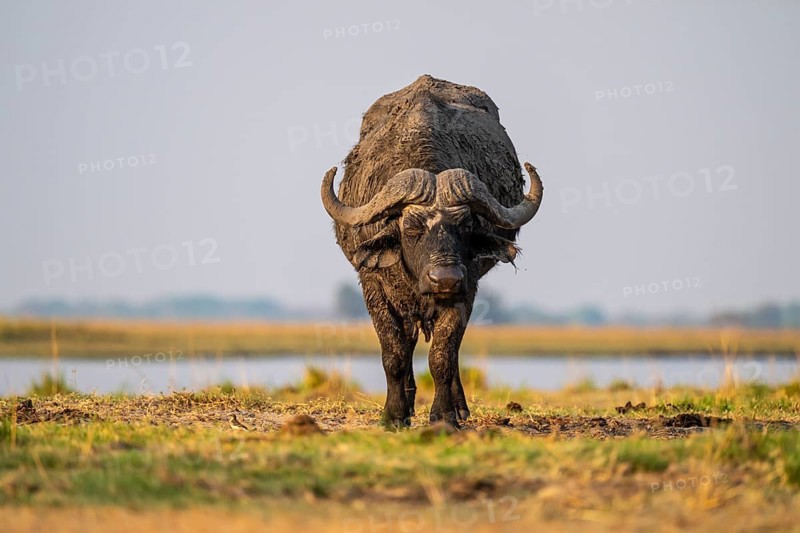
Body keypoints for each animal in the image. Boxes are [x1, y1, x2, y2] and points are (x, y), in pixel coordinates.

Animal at [321, 75, 543, 428]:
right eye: (411, 227)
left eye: (465, 226)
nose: (445, 278)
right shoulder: (373, 286)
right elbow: (394, 352)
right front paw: (394, 414)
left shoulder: (466, 290)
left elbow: (443, 355)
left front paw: (444, 415)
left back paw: (458, 406)